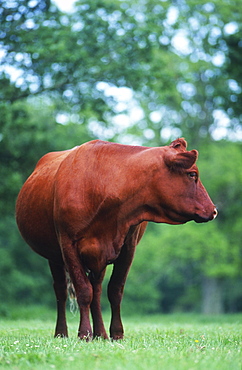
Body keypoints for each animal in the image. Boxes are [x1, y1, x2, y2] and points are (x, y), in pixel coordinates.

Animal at [15, 139, 217, 342]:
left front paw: (116, 333)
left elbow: (114, 290)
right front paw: (84, 333)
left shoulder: (128, 247)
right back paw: (62, 333)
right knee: (62, 291)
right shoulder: (68, 245)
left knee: (96, 290)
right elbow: (83, 290)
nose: (214, 210)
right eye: (192, 174)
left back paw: (101, 333)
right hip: (54, 256)